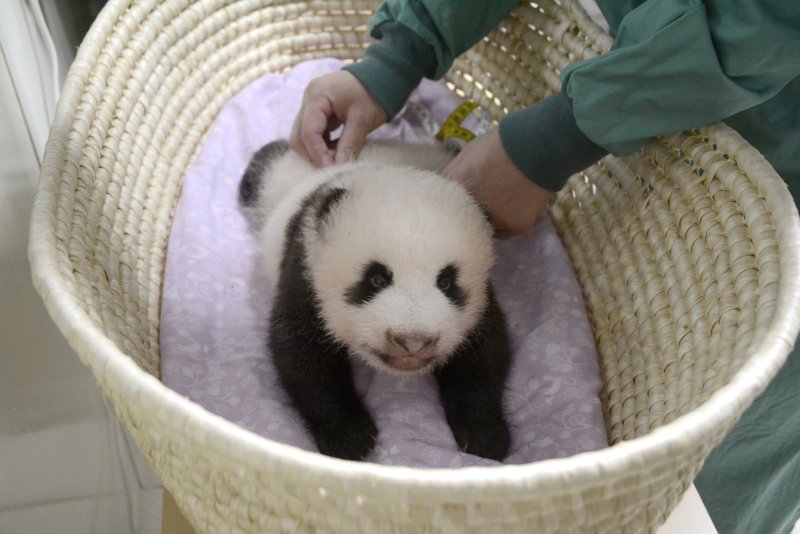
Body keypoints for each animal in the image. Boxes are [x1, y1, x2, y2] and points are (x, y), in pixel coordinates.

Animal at [239, 140, 512, 462]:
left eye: (446, 282)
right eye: (376, 279)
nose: (412, 342)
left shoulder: (480, 304)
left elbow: (484, 354)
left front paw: (484, 435)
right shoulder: (307, 271)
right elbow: (302, 353)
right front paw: (350, 438)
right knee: (266, 167)